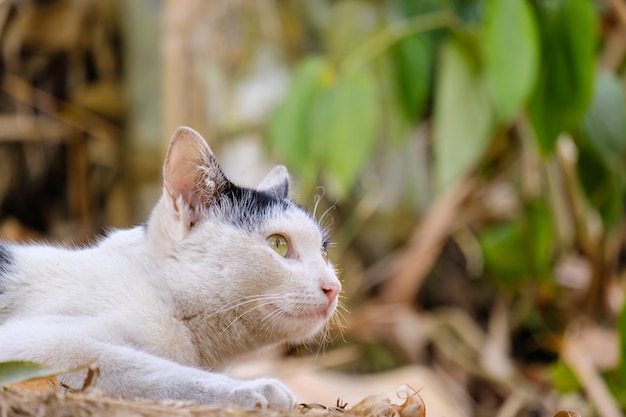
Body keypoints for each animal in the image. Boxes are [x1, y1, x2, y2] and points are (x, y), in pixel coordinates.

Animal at [0, 125, 342, 408]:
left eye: (324, 253)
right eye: (278, 244)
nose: (334, 287)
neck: (160, 292)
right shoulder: (31, 342)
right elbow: (140, 365)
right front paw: (250, 389)